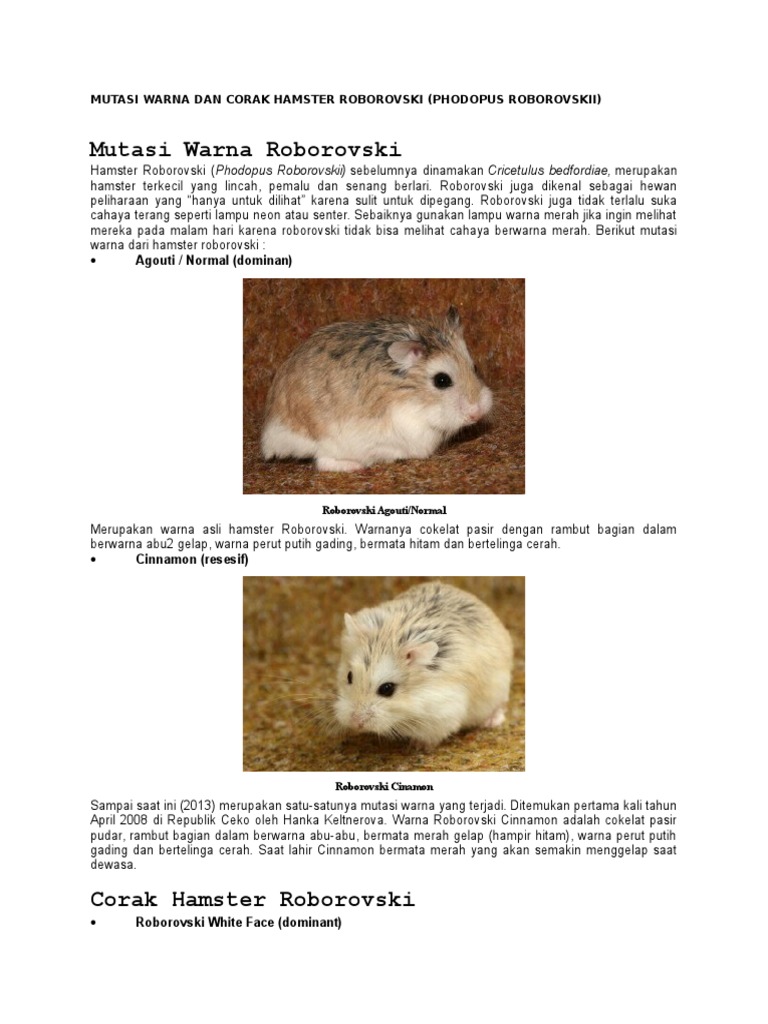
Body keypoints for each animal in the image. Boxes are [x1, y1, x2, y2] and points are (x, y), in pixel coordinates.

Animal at [261, 308, 492, 472]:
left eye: (474, 367)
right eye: (442, 380)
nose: (477, 413)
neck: (416, 401)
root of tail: (270, 434)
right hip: (330, 440)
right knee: (323, 461)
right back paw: (356, 466)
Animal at [334, 582, 513, 749]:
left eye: (387, 689)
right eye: (349, 676)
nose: (355, 723)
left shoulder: (443, 715)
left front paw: (417, 746)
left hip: (499, 689)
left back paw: (492, 721)